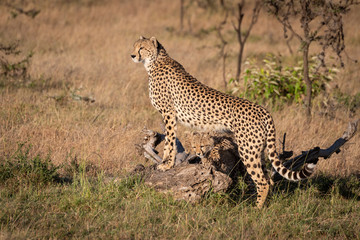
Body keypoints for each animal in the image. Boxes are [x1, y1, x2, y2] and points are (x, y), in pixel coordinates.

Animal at [131, 36, 318, 208]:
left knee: (262, 181)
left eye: (142, 48)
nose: (132, 55)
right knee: (268, 178)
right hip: (259, 149)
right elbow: (169, 141)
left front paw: (166, 165)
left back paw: (256, 209)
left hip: (247, 150)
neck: (155, 61)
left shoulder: (169, 113)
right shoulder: (170, 115)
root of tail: (263, 110)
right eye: (134, 46)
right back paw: (264, 205)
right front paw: (164, 163)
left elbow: (169, 141)